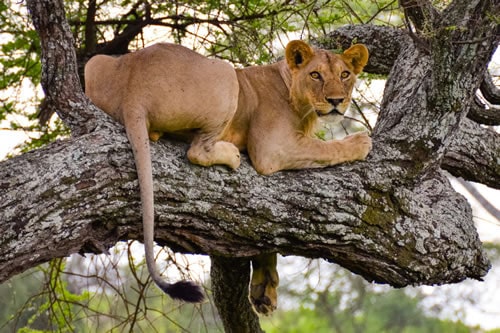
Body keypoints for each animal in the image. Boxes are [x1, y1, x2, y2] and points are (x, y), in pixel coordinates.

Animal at [84, 39, 370, 314]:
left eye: (345, 74)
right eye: (315, 75)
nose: (336, 101)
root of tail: (133, 90)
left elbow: (266, 234)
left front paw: (264, 290)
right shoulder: (272, 149)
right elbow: (324, 147)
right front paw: (361, 142)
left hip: (93, 63)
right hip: (226, 74)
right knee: (197, 150)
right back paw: (232, 155)